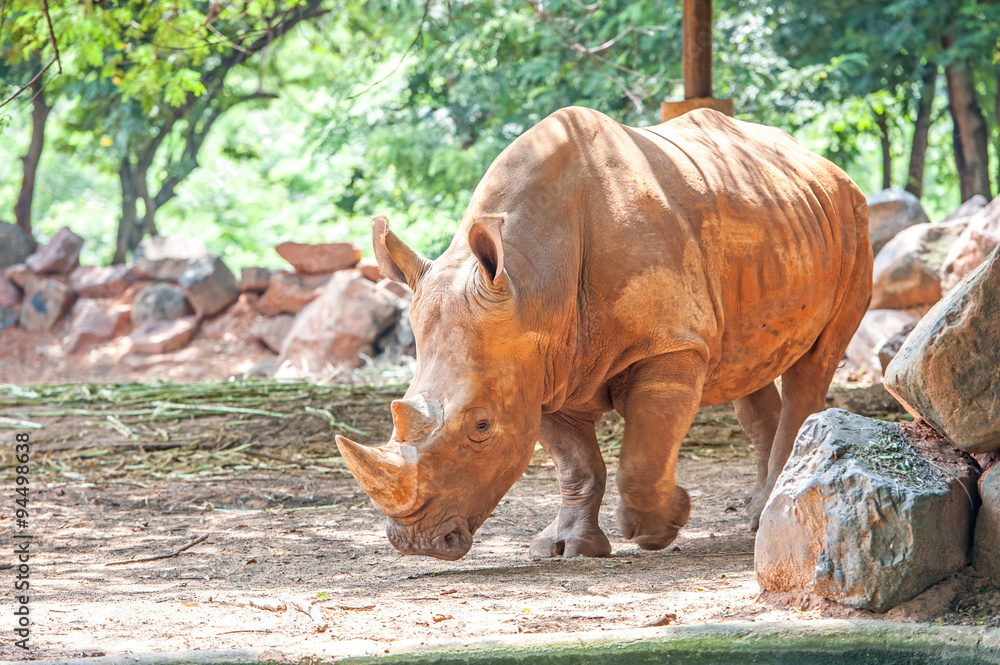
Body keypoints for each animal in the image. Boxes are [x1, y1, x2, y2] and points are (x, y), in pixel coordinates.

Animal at [336, 106, 872, 561]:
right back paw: (760, 510)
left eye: (482, 427)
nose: (417, 543)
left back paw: (767, 516)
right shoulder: (538, 364)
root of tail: (820, 163)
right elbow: (577, 465)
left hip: (855, 218)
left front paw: (663, 526)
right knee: (748, 366)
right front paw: (566, 548)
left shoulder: (668, 343)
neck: (533, 280)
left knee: (814, 364)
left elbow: (643, 451)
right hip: (774, 221)